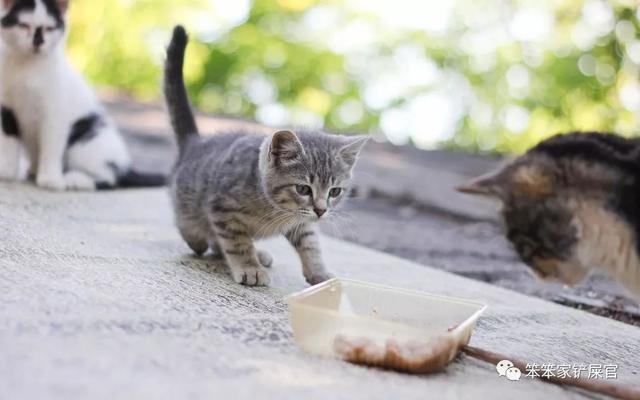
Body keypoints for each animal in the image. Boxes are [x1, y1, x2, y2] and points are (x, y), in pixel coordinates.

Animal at [1, 0, 165, 190]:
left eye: (49, 28)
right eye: (24, 25)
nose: (38, 42)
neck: (26, 67)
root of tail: (126, 167)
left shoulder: (55, 113)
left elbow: (51, 146)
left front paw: (50, 179)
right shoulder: (7, 108)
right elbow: (9, 142)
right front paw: (7, 171)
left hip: (84, 143)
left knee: (110, 179)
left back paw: (75, 179)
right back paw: (34, 171)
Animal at [162, 25, 368, 286]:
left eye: (335, 192)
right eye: (303, 189)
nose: (321, 211)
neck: (274, 209)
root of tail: (195, 142)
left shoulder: (302, 223)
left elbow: (311, 244)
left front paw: (320, 273)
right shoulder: (223, 210)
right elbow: (238, 242)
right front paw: (250, 267)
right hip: (191, 206)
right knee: (193, 229)